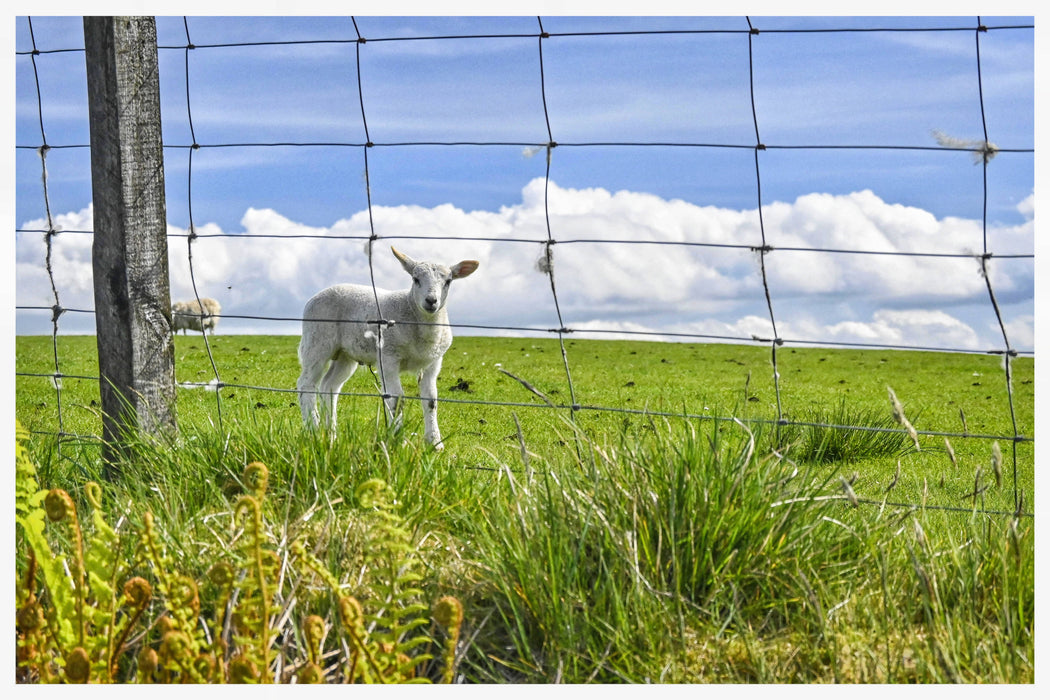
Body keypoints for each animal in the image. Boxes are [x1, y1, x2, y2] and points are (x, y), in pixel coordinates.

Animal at [294, 246, 478, 449]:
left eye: (448, 281)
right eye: (415, 279)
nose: (431, 301)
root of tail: (316, 296)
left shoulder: (433, 363)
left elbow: (431, 401)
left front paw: (435, 443)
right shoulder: (388, 358)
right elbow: (396, 399)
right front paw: (398, 441)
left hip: (345, 355)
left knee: (329, 386)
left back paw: (331, 434)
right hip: (316, 342)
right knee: (306, 385)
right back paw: (314, 429)